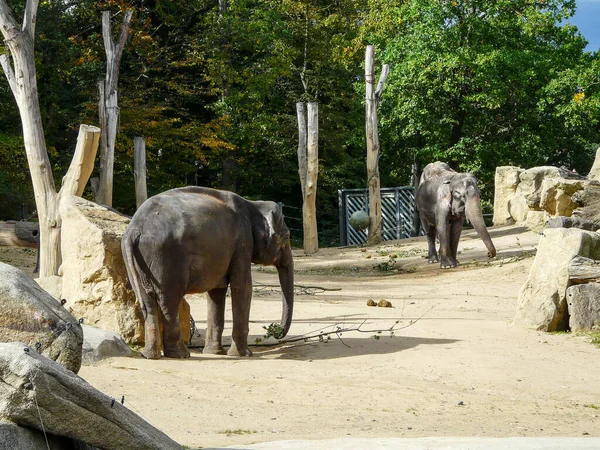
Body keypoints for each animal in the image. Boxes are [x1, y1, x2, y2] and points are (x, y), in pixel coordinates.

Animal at [120, 186, 294, 358]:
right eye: (286, 237)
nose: (275, 331)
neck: (253, 204)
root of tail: (135, 229)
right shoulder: (243, 242)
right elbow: (242, 286)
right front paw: (243, 355)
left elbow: (216, 292)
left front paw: (215, 352)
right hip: (166, 257)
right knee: (168, 300)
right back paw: (181, 354)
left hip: (138, 262)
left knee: (146, 302)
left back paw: (150, 355)